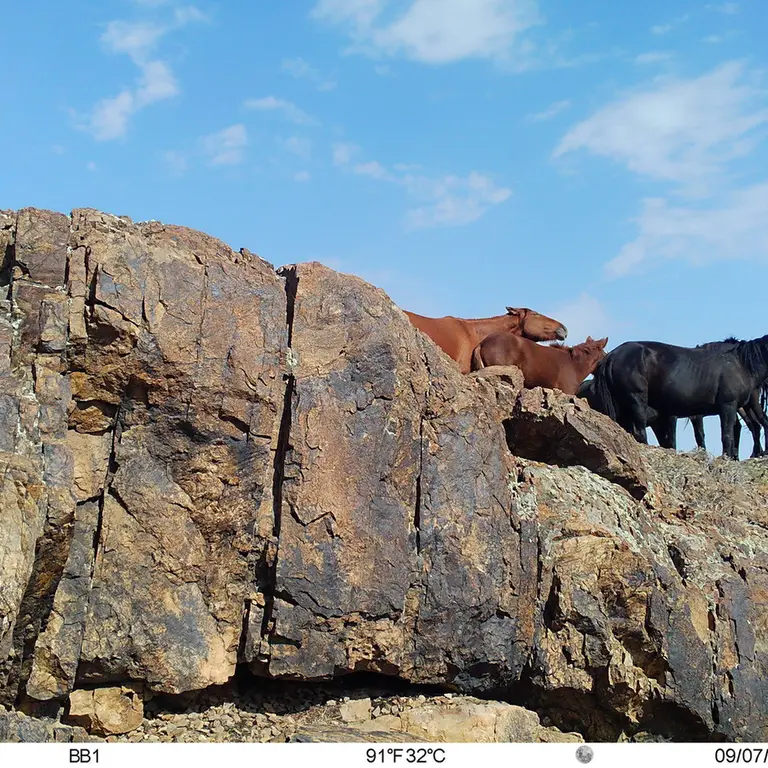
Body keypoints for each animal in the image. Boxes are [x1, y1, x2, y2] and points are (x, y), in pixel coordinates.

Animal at [587, 336, 768, 459]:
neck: (740, 364)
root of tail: (611, 356)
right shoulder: (728, 406)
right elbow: (727, 436)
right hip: (635, 400)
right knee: (639, 432)